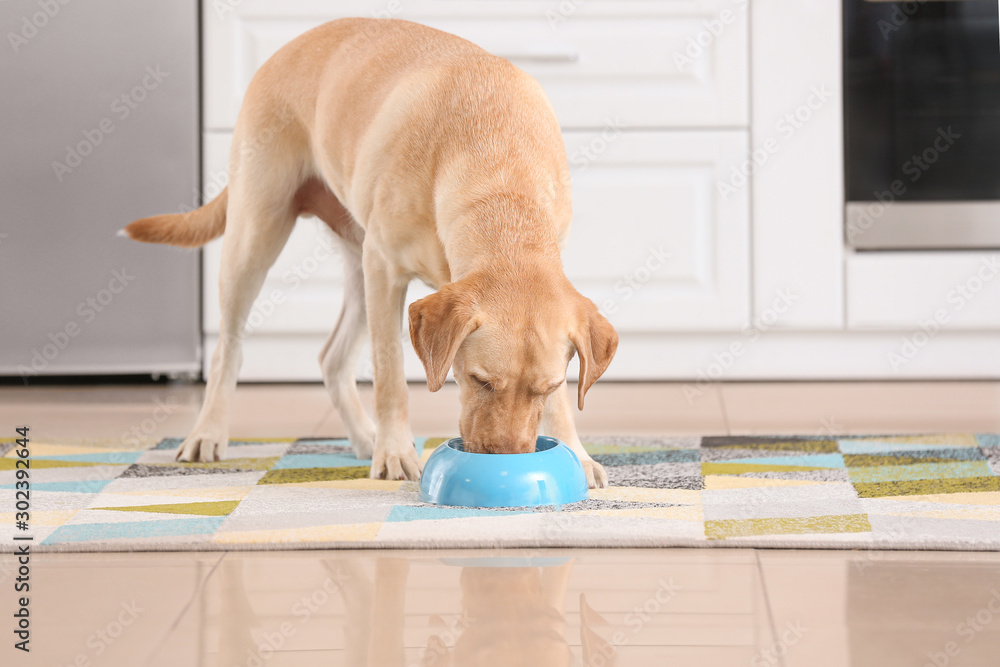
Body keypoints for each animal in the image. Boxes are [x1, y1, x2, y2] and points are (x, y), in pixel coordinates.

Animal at [121, 15, 612, 486]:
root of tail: (288, 46)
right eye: (480, 381)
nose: (509, 460)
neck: (500, 177)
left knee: (331, 359)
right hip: (256, 236)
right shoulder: (384, 270)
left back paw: (363, 437)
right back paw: (208, 433)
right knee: (228, 348)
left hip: (354, 266)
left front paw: (577, 454)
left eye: (547, 388)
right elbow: (390, 374)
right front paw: (394, 453)